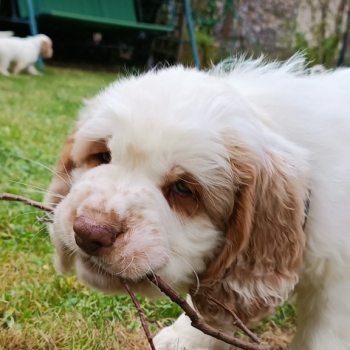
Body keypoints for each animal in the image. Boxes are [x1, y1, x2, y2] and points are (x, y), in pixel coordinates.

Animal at [45, 54, 350, 350]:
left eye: (183, 188)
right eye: (103, 156)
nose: (89, 233)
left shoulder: (336, 293)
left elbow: (322, 337)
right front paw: (184, 339)